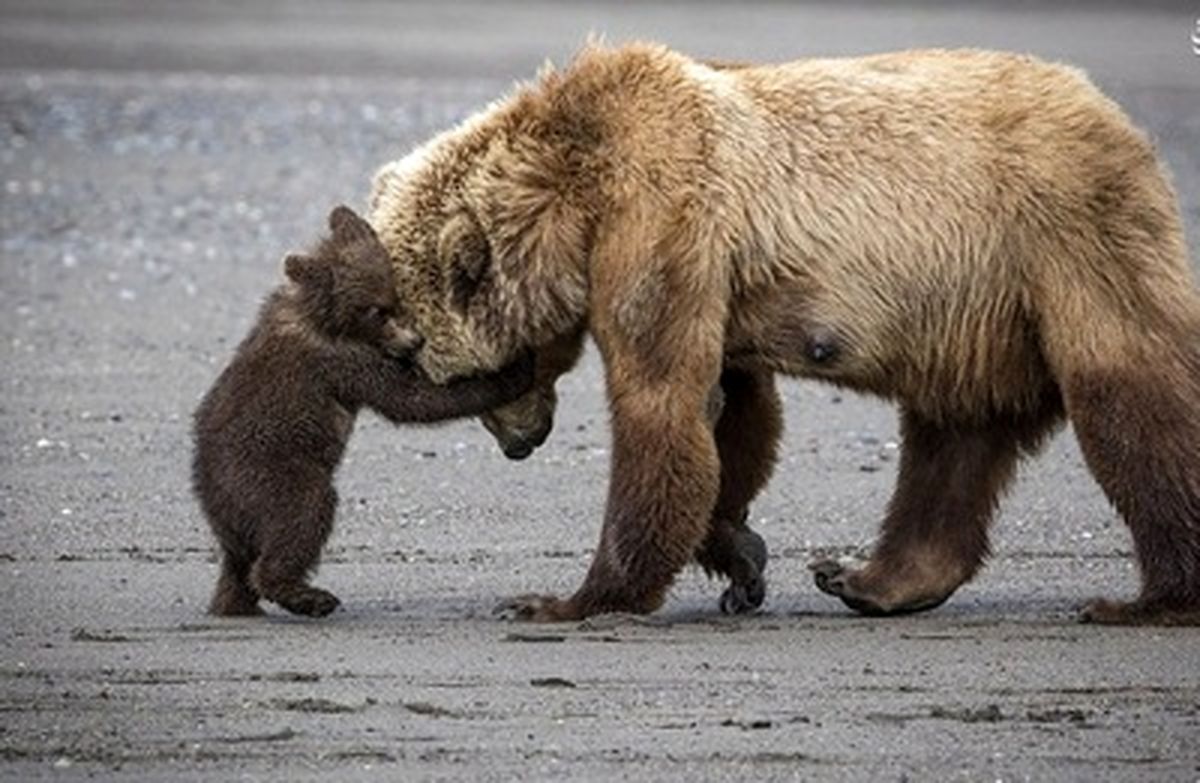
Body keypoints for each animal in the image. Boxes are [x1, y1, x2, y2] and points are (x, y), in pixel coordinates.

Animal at [369, 45, 1195, 629]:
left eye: (433, 363)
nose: (519, 443)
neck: (575, 193)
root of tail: (1120, 120)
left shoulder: (661, 220)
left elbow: (661, 405)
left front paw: (566, 598)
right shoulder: (714, 273)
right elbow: (732, 416)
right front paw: (741, 556)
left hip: (1066, 240)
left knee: (1130, 399)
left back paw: (1151, 597)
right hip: (974, 317)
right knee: (953, 436)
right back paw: (870, 577)